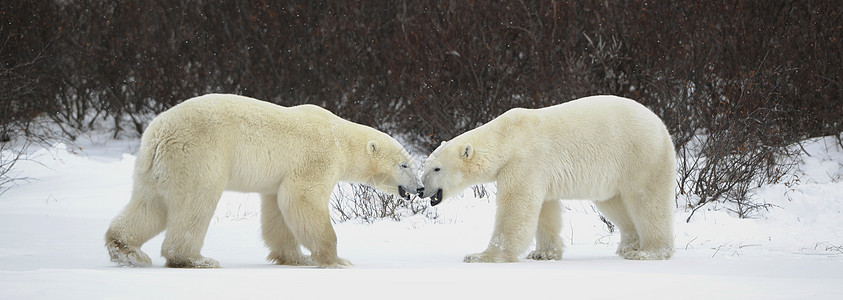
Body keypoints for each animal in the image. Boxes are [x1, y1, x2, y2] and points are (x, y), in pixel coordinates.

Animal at [105, 93, 422, 268]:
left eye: (412, 163)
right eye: (404, 163)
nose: (419, 188)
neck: (340, 138)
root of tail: (158, 134)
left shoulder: (280, 176)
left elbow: (278, 209)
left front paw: (295, 258)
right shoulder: (316, 157)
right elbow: (304, 199)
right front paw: (334, 259)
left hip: (155, 167)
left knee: (149, 204)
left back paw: (126, 250)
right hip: (198, 155)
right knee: (196, 203)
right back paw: (195, 259)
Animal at [418, 95, 676, 262]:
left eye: (437, 169)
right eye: (425, 166)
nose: (421, 189)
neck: (507, 137)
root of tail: (661, 124)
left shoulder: (524, 162)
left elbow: (515, 208)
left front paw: (481, 256)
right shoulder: (538, 173)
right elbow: (545, 210)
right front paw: (543, 253)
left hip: (640, 156)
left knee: (648, 202)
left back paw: (648, 252)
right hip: (614, 174)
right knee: (613, 203)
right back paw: (627, 247)